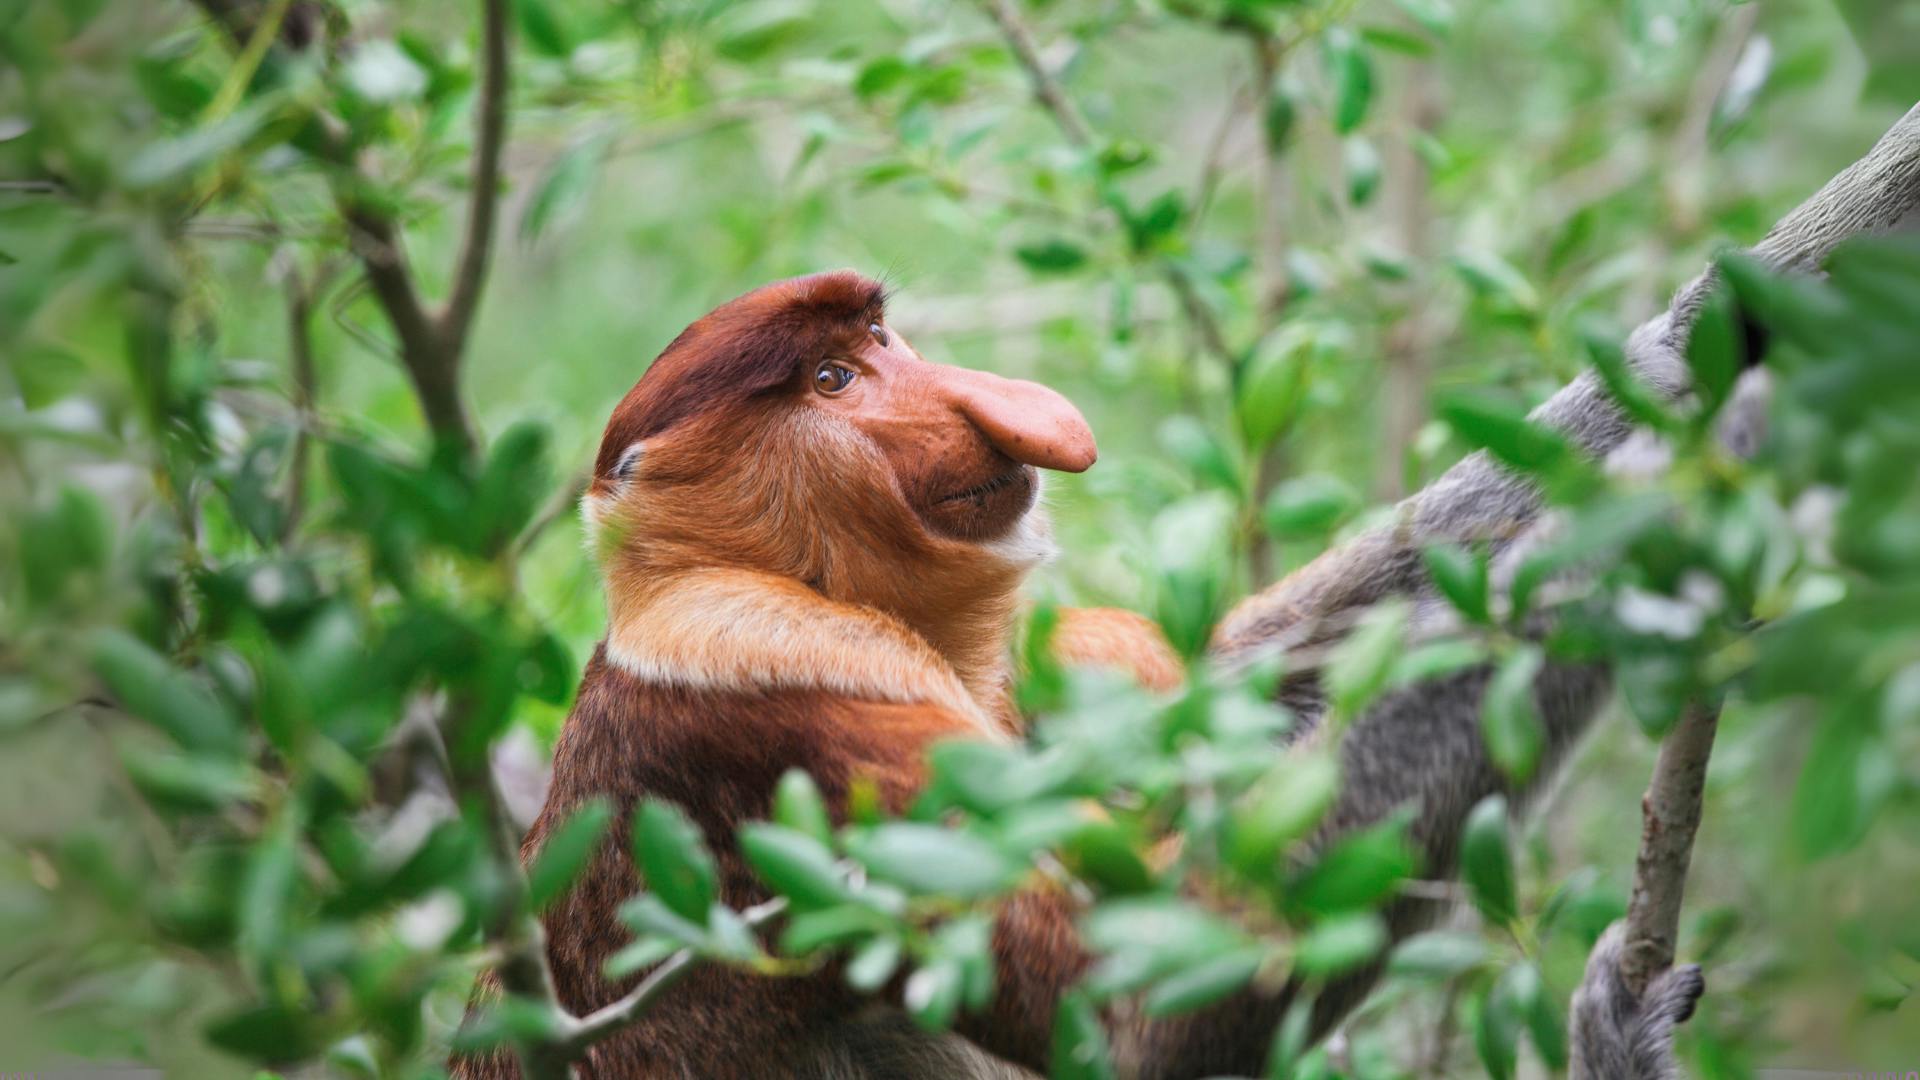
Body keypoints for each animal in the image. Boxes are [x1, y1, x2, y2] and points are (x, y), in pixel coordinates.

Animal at [453, 102, 1920, 1080]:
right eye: (828, 382)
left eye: (881, 339)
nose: (995, 408)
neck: (711, 574)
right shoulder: (780, 688)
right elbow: (1134, 1013)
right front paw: (1695, 475)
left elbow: (1260, 691)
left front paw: (1725, 329)